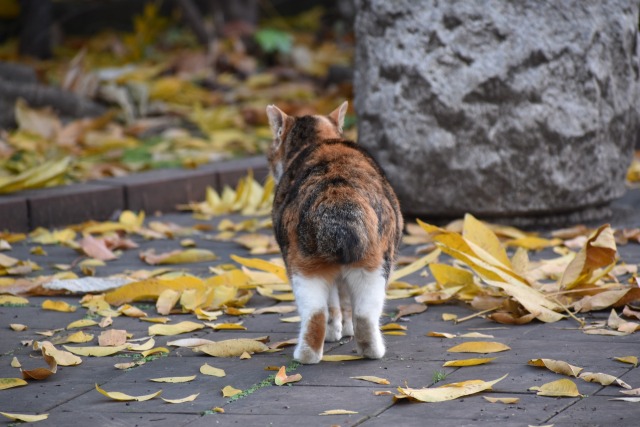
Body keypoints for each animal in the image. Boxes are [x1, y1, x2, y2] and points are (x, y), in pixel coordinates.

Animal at [264, 100, 400, 364]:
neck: (321, 141)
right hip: (374, 266)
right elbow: (343, 302)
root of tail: (337, 197)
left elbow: (336, 303)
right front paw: (344, 330)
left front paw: (338, 331)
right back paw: (369, 350)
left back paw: (307, 355)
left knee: (317, 313)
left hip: (304, 267)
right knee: (362, 313)